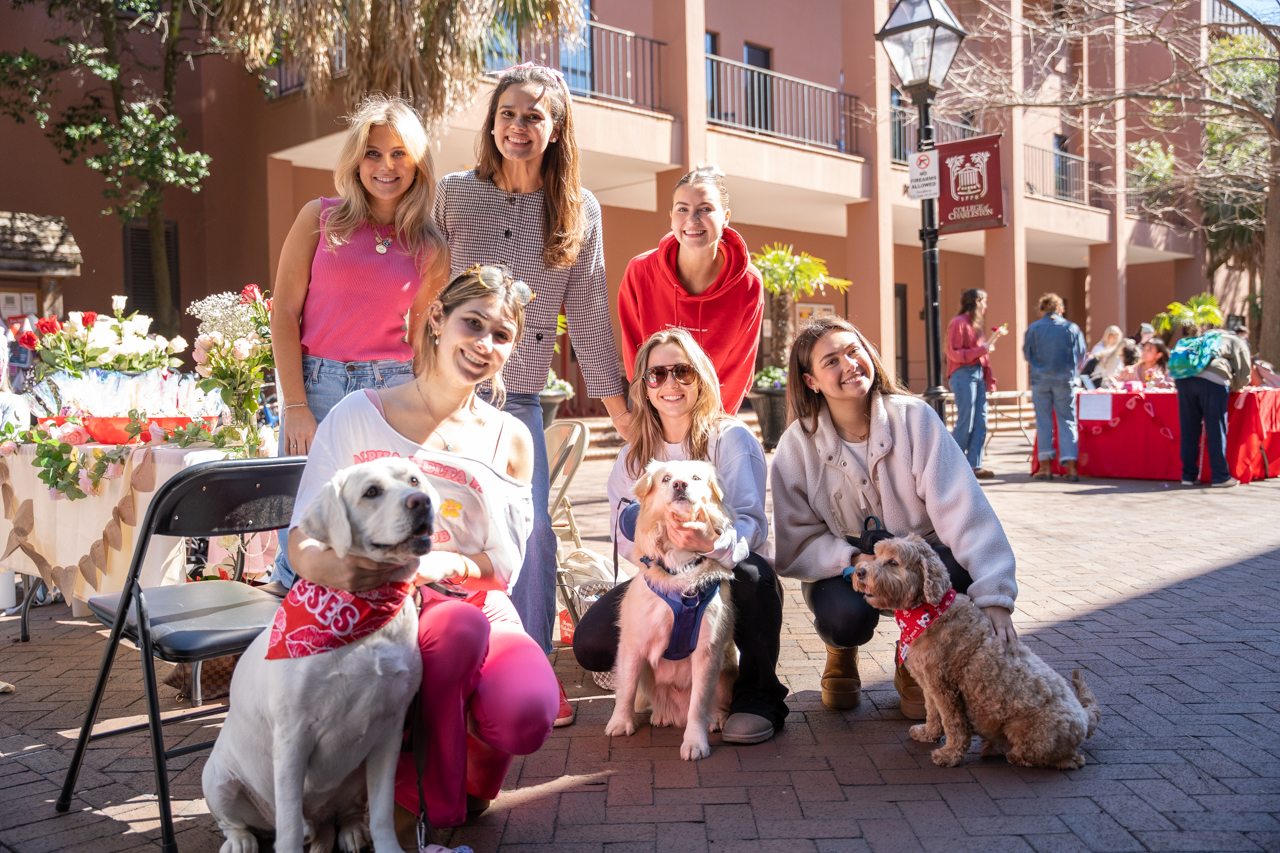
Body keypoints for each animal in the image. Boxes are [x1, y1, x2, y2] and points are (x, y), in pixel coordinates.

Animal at [202, 458, 437, 850]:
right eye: (371, 492)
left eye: (414, 480)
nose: (422, 502)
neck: (363, 611)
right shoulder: (293, 736)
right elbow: (288, 828)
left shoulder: (390, 729)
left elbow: (383, 813)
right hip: (217, 777)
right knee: (239, 821)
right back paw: (241, 840)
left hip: (354, 776)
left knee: (345, 814)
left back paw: (351, 830)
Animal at [604, 458, 737, 758]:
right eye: (666, 479)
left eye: (696, 477)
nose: (680, 484)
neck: (679, 565)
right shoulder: (633, 642)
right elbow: (626, 688)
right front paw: (620, 722)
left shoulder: (707, 650)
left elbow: (698, 704)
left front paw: (695, 742)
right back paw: (661, 715)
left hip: (728, 666)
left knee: (711, 704)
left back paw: (716, 718)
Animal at [849, 535, 1100, 768]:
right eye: (876, 555)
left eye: (893, 562)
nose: (859, 571)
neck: (927, 613)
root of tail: (1084, 719)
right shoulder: (929, 686)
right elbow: (932, 712)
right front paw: (929, 734)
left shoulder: (945, 688)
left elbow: (953, 724)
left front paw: (950, 754)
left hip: (1031, 732)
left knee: (1067, 760)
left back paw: (1010, 754)